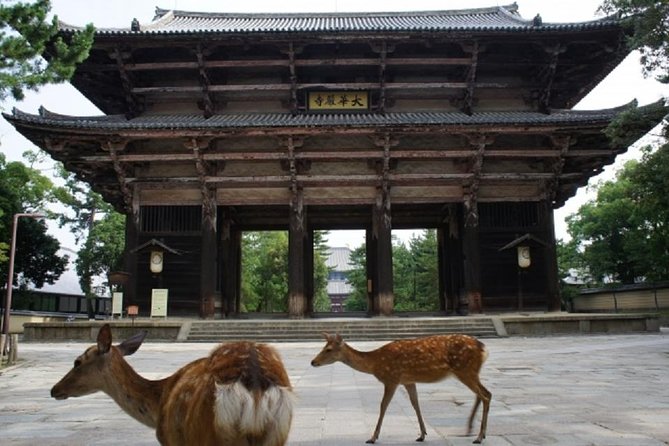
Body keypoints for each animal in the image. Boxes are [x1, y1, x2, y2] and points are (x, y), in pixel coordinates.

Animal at [310, 332, 490, 444]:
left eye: (328, 349)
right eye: (323, 347)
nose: (313, 362)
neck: (375, 364)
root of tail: (484, 348)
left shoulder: (392, 379)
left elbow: (383, 406)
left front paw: (372, 437)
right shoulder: (408, 381)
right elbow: (415, 403)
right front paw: (422, 435)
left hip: (464, 370)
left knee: (485, 395)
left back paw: (479, 437)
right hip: (470, 372)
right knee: (483, 394)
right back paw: (471, 430)